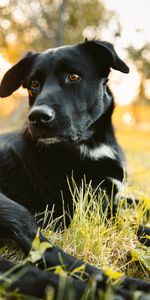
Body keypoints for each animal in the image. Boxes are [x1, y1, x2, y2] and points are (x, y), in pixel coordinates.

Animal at [0, 40, 149, 300]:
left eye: (73, 76)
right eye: (33, 84)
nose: (37, 117)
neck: (93, 144)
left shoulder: (115, 197)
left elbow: (138, 203)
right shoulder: (94, 213)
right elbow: (138, 227)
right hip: (14, 210)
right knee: (48, 253)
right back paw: (125, 289)